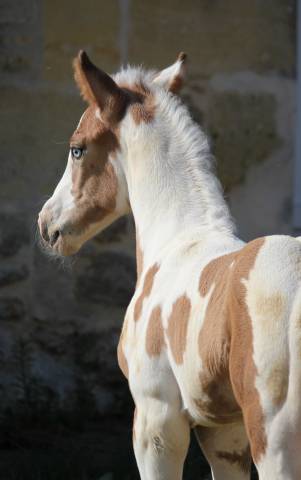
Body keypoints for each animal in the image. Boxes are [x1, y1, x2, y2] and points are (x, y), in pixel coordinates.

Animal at [38, 50, 300, 478]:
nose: (47, 224)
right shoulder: (225, 433)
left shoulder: (156, 420)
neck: (178, 239)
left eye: (78, 148)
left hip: (275, 435)